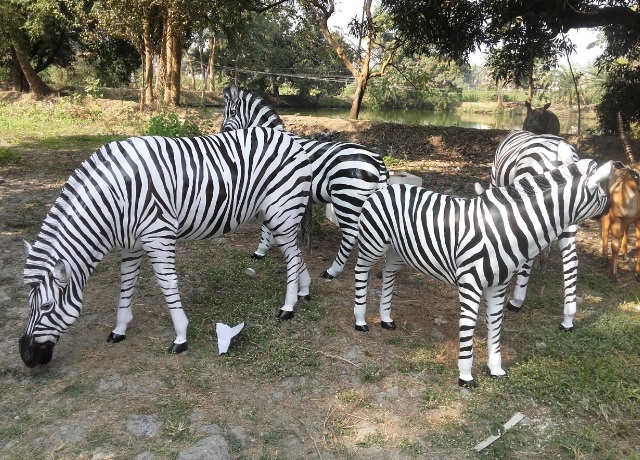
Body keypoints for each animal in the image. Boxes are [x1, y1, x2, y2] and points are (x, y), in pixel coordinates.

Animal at [21, 127, 316, 368]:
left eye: (47, 306)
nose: (25, 356)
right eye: (30, 304)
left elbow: (167, 283)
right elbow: (126, 284)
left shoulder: (158, 235)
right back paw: (304, 289)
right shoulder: (131, 243)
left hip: (281, 210)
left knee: (291, 257)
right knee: (294, 252)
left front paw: (181, 337)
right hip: (274, 214)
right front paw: (120, 329)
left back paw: (288, 307)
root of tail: (292, 139)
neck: (116, 196)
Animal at [220, 85, 390, 280]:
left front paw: (260, 251)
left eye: (232, 112)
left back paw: (332, 271)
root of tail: (376, 158)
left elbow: (265, 226)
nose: (221, 133)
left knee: (350, 235)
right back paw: (384, 271)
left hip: (346, 197)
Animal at [352, 160, 612, 386]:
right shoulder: (470, 285)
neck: (505, 229)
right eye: (602, 192)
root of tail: (388, 186)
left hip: (397, 251)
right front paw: (465, 376)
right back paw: (361, 320)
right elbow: (468, 326)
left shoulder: (498, 286)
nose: (610, 208)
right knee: (361, 272)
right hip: (373, 243)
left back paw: (385, 318)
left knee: (388, 275)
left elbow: (495, 326)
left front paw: (495, 369)